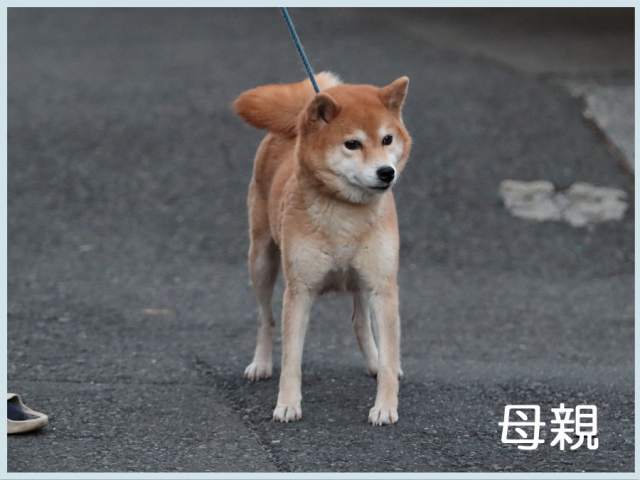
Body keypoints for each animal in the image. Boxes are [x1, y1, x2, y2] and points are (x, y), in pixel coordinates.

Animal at [232, 73, 412, 426]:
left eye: (387, 139)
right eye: (352, 144)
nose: (387, 172)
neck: (346, 214)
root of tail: (294, 124)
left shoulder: (383, 287)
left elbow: (388, 354)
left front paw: (385, 406)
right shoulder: (300, 291)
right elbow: (291, 358)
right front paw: (287, 404)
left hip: (361, 280)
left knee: (360, 322)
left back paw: (376, 361)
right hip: (261, 261)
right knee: (265, 318)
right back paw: (261, 364)